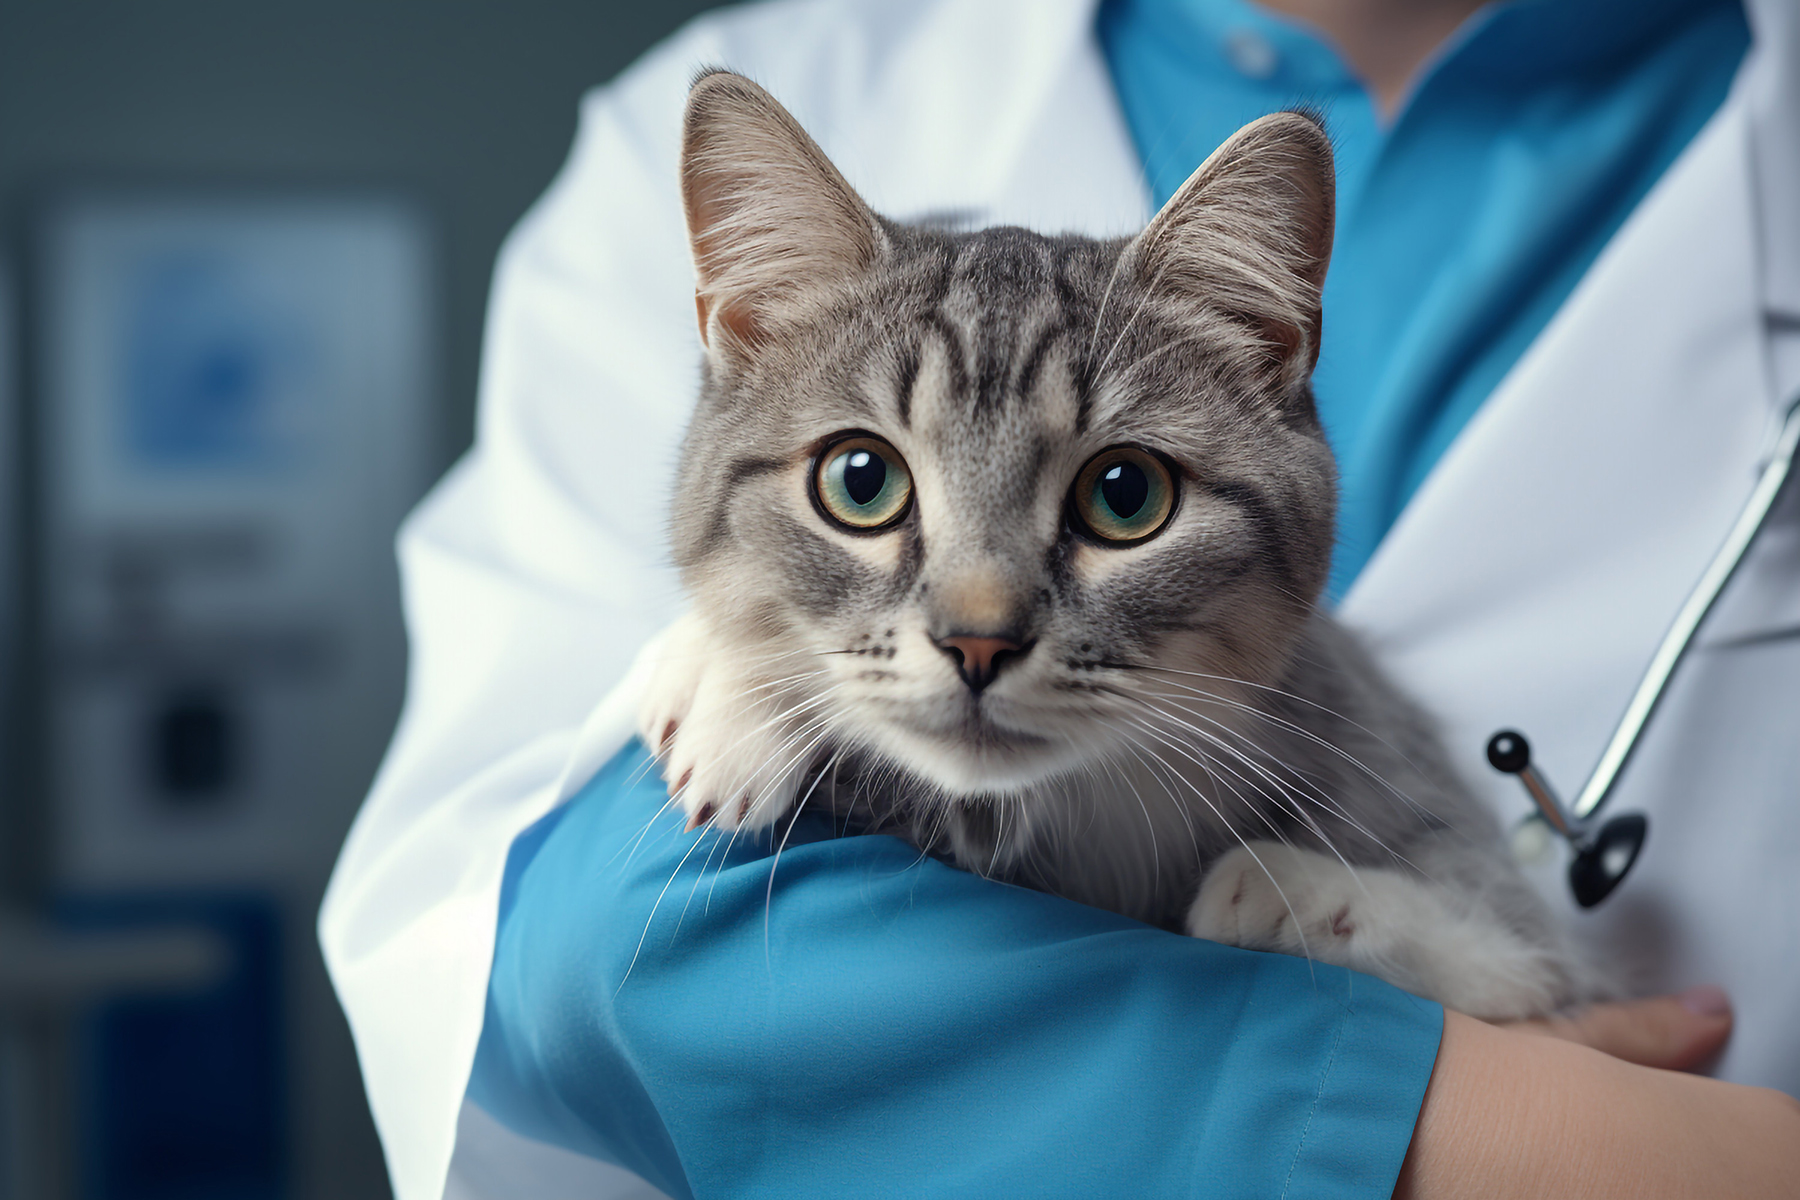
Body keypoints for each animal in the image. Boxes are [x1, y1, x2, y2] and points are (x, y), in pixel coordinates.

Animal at [633, 70, 1591, 1021]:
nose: (977, 641)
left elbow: (1516, 965)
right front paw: (724, 689)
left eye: (1125, 495)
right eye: (860, 480)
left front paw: (1289, 890)